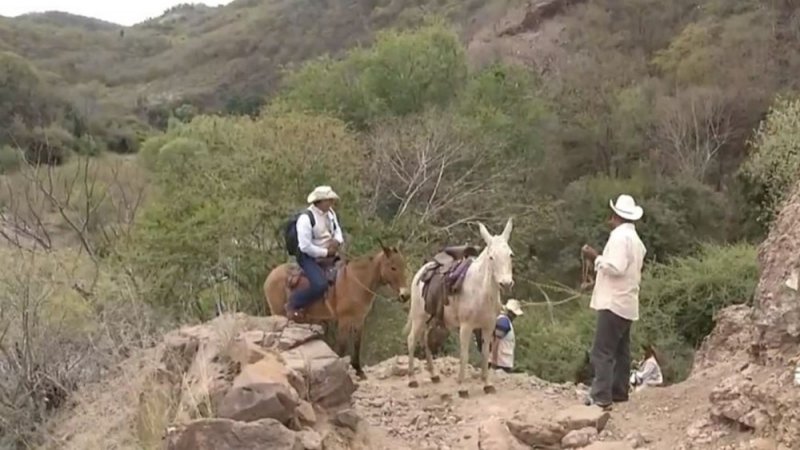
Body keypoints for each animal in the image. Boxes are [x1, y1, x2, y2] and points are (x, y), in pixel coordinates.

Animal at [266, 244, 410, 378]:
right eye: (393, 267)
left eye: (403, 265)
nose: (405, 295)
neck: (356, 281)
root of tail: (270, 276)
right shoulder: (344, 320)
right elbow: (341, 346)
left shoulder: (359, 320)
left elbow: (357, 343)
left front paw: (358, 370)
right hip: (278, 313)